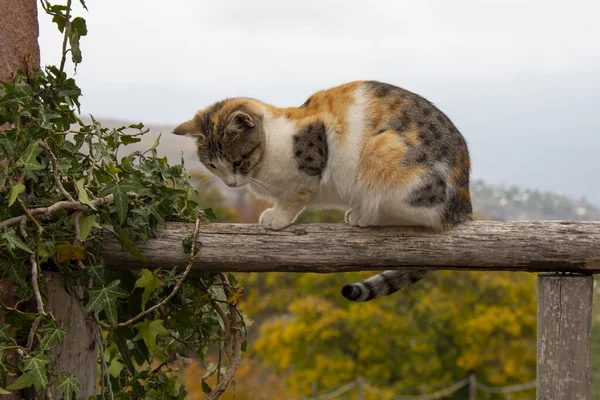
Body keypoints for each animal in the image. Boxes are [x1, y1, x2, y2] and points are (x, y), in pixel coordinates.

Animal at [171, 80, 472, 300]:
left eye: (237, 161)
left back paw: (364, 216)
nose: (230, 184)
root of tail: (463, 208)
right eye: (213, 165)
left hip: (385, 154)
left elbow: (294, 197)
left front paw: (277, 217)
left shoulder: (311, 165)